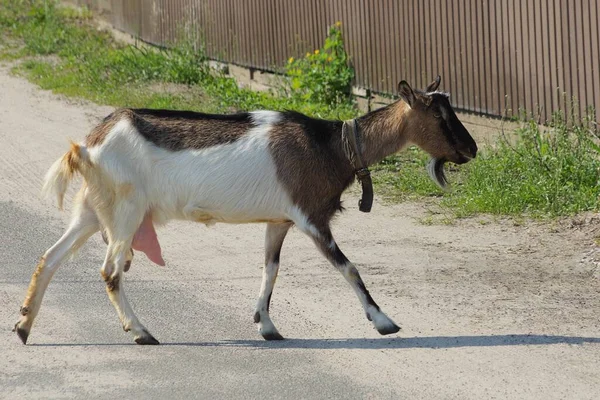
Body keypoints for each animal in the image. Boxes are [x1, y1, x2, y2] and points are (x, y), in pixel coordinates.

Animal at [14, 77, 478, 344]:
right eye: (439, 115)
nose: (472, 149)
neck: (333, 146)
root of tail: (87, 144)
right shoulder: (311, 216)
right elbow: (348, 268)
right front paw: (384, 321)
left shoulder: (280, 220)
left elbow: (270, 268)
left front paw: (266, 325)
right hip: (126, 209)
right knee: (110, 271)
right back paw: (142, 332)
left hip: (93, 209)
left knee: (50, 257)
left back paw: (23, 326)